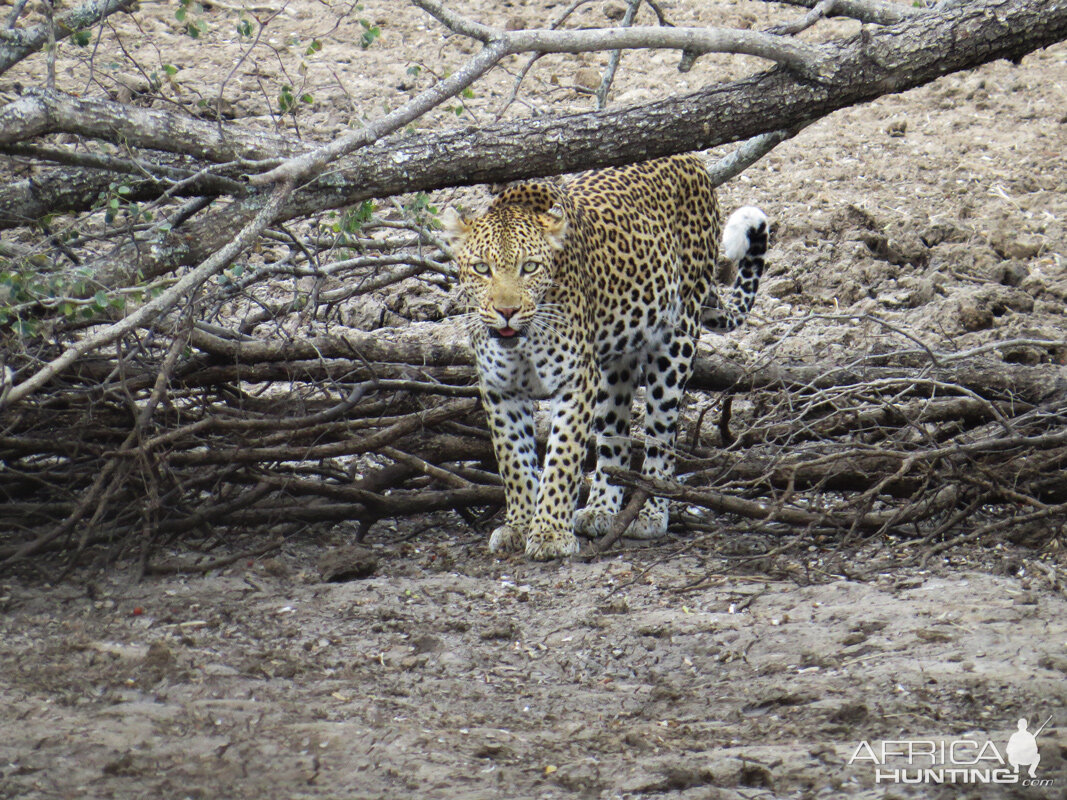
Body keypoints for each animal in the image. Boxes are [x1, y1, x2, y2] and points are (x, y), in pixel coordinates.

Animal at [441, 153, 768, 558]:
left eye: (529, 267)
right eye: (481, 269)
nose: (506, 311)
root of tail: (692, 159)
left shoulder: (575, 382)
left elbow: (563, 458)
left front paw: (550, 533)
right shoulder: (499, 388)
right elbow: (513, 459)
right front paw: (519, 525)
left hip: (675, 343)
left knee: (661, 436)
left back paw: (649, 512)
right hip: (615, 362)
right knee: (615, 436)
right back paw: (600, 508)